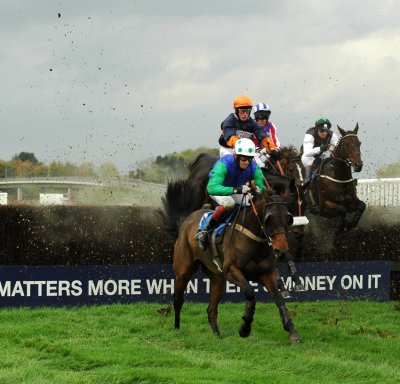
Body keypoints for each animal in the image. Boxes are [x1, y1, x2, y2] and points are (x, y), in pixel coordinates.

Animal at [161, 180, 302, 342]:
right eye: (269, 219)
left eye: (288, 218)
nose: (282, 251)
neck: (253, 239)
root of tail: (188, 219)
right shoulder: (231, 270)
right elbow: (250, 293)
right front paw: (245, 328)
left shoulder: (266, 273)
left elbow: (279, 299)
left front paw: (292, 331)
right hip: (183, 270)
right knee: (178, 299)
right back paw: (177, 328)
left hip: (217, 278)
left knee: (211, 309)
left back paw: (217, 335)